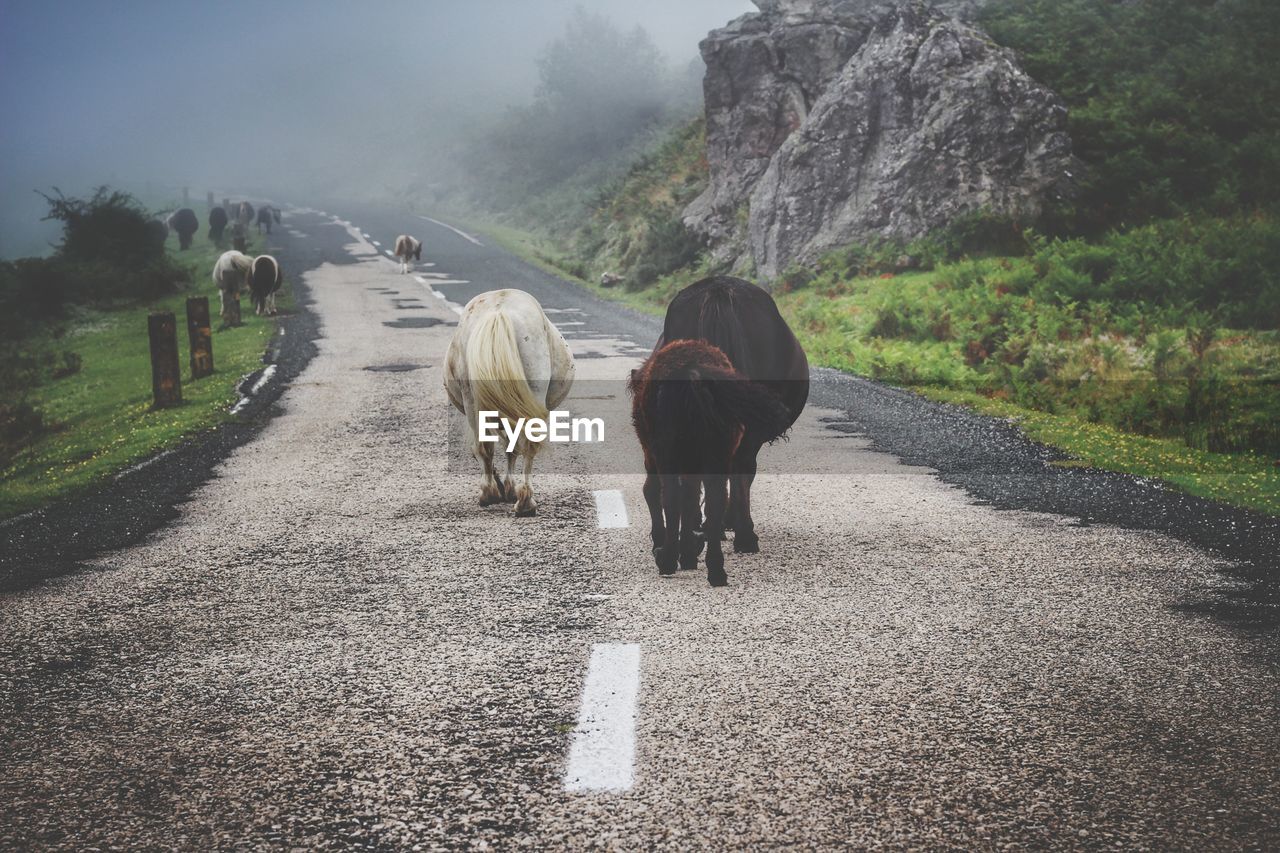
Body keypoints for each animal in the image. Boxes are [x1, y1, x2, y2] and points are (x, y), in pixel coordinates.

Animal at [445, 285, 576, 514]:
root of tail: (499, 311)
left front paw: (506, 488)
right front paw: (509, 488)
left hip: (473, 401)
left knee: (487, 446)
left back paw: (493, 495)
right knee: (520, 444)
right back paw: (523, 501)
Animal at [627, 338, 793, 584]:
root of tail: (693, 372)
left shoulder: (655, 456)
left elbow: (656, 492)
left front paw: (668, 546)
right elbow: (692, 498)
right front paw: (689, 552)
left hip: (668, 454)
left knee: (671, 498)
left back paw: (667, 560)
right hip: (717, 456)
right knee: (715, 501)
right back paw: (716, 570)